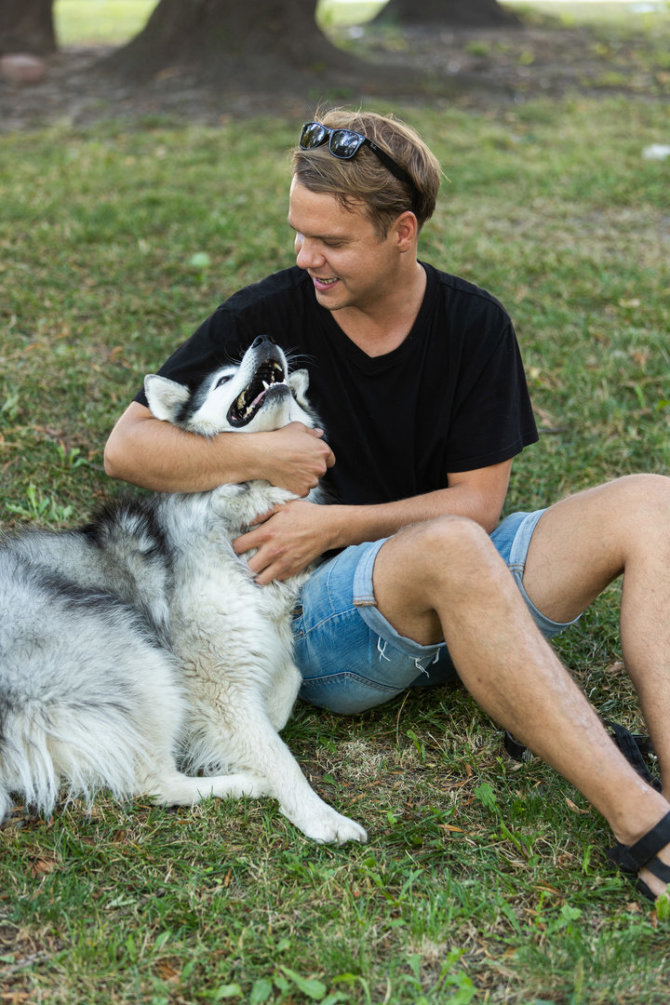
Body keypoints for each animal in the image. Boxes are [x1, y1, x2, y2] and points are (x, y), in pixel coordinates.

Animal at [0, 333, 367, 844]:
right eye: (222, 378)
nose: (264, 339)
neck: (241, 514)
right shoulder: (216, 680)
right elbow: (277, 753)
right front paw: (319, 816)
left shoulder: (274, 638)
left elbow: (284, 690)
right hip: (136, 655)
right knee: (154, 782)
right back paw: (247, 783)